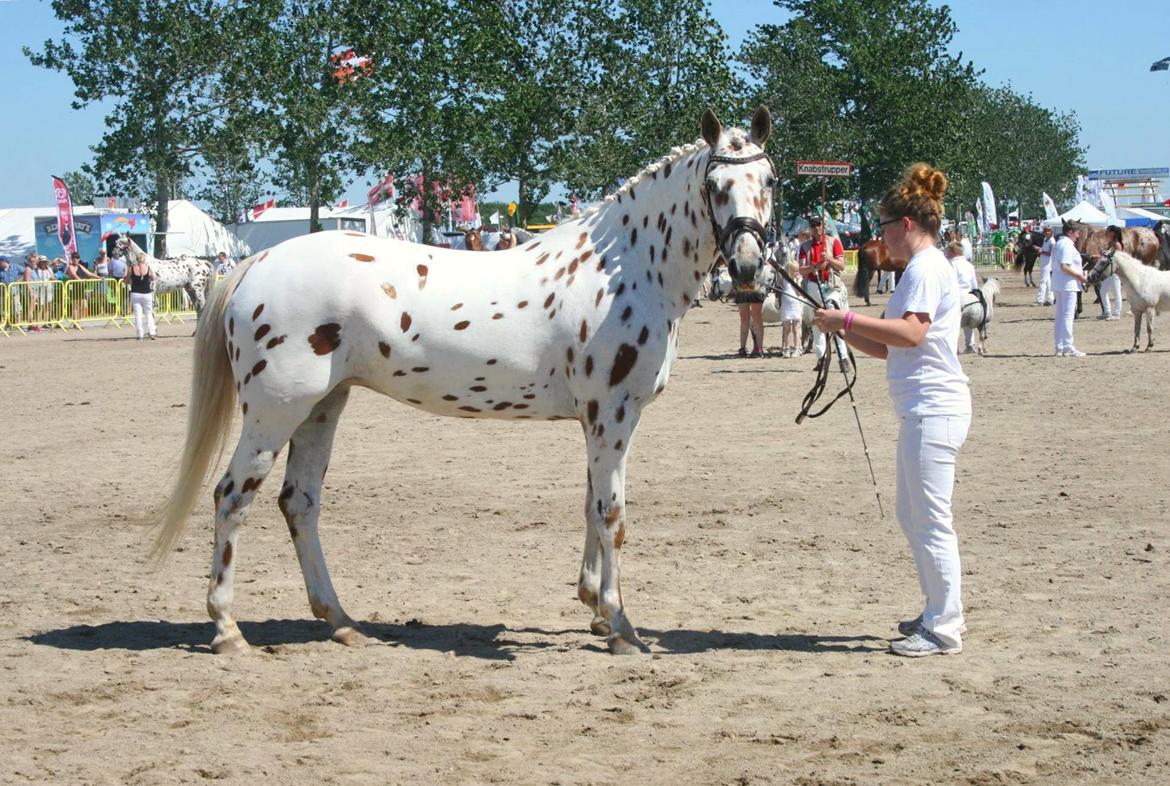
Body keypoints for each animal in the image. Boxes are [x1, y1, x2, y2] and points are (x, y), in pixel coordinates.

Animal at [153, 105, 776, 655]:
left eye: (768, 179)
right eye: (716, 183)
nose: (747, 267)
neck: (622, 269)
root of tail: (253, 265)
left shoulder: (602, 421)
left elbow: (590, 504)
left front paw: (595, 608)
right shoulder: (613, 414)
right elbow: (611, 515)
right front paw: (621, 627)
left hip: (322, 407)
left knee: (299, 503)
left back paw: (342, 622)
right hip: (274, 411)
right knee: (232, 498)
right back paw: (227, 630)